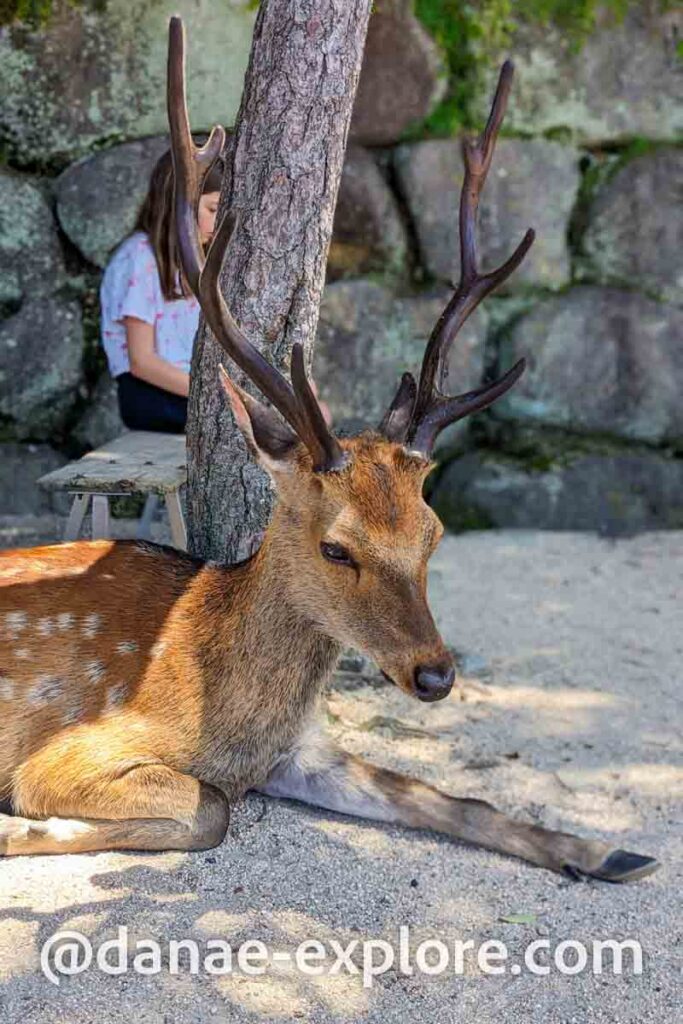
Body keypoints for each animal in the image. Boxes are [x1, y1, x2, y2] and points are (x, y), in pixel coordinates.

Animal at [0, 16, 659, 884]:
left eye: (433, 534)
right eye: (336, 547)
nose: (434, 673)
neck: (236, 723)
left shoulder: (299, 752)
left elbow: (448, 797)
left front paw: (614, 851)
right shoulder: (66, 748)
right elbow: (207, 809)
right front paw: (23, 831)